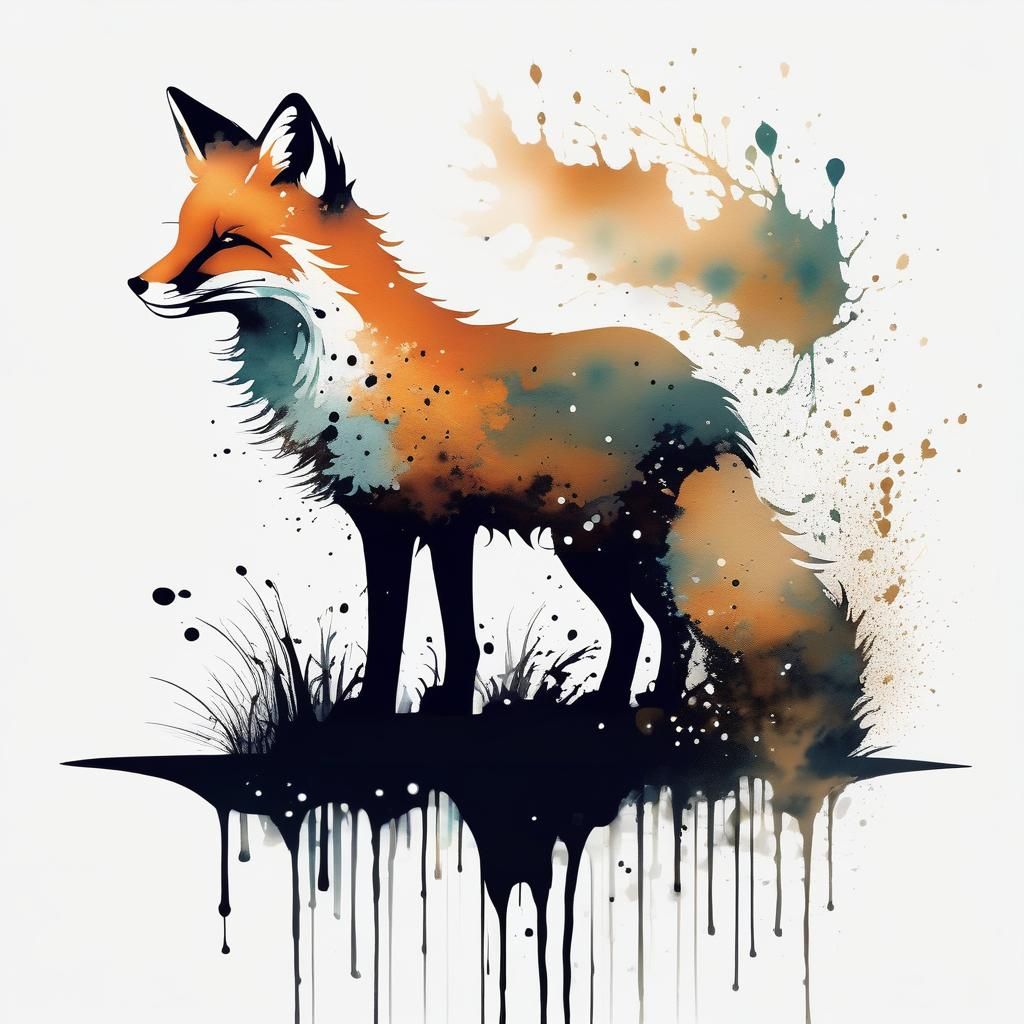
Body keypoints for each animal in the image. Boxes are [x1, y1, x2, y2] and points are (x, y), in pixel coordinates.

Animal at [129, 88, 868, 771]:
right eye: (183, 233)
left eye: (229, 241)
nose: (137, 284)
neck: (347, 368)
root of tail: (703, 387)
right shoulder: (381, 521)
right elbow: (389, 624)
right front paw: (379, 711)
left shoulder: (444, 520)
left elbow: (449, 629)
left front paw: (433, 710)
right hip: (595, 549)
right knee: (643, 626)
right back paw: (612, 707)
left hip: (606, 545)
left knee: (671, 625)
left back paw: (650, 710)